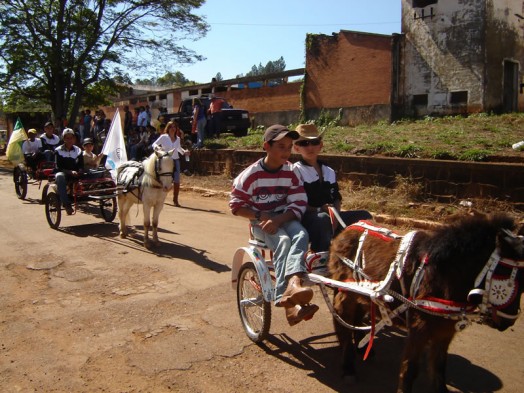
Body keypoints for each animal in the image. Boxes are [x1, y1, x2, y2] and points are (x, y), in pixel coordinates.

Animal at [330, 213, 520, 392]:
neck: (442, 275)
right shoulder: (419, 329)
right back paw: (348, 366)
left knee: (353, 318)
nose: (507, 322)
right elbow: (410, 370)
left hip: (363, 295)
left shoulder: (445, 330)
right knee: (341, 317)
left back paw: (361, 349)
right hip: (347, 292)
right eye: (505, 275)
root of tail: (346, 230)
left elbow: (439, 366)